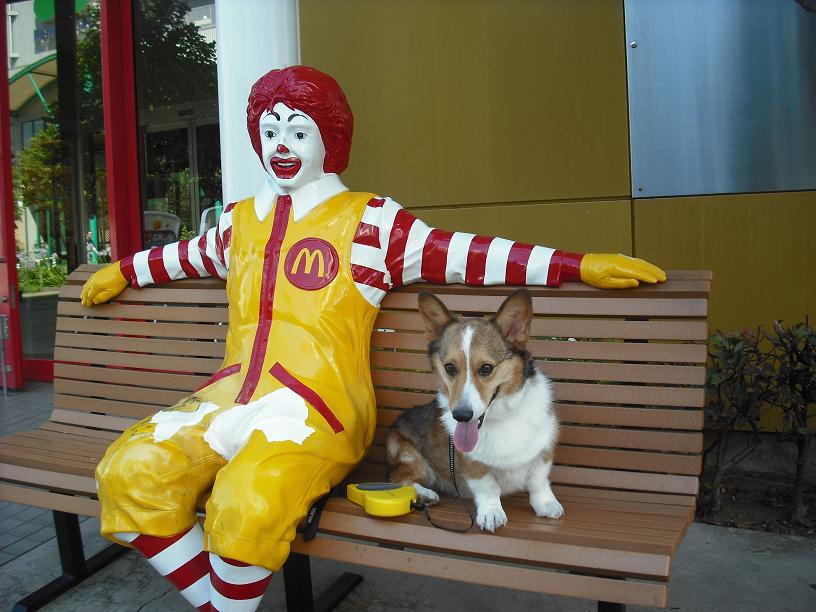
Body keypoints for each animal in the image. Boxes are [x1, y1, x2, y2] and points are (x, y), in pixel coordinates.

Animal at [385, 289, 563, 532]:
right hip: (413, 458)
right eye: (450, 367)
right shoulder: (472, 465)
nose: (461, 415)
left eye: (486, 368)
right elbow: (488, 488)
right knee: (396, 478)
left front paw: (546, 504)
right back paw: (425, 495)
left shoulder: (542, 450)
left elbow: (539, 481)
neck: (501, 417)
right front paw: (492, 513)